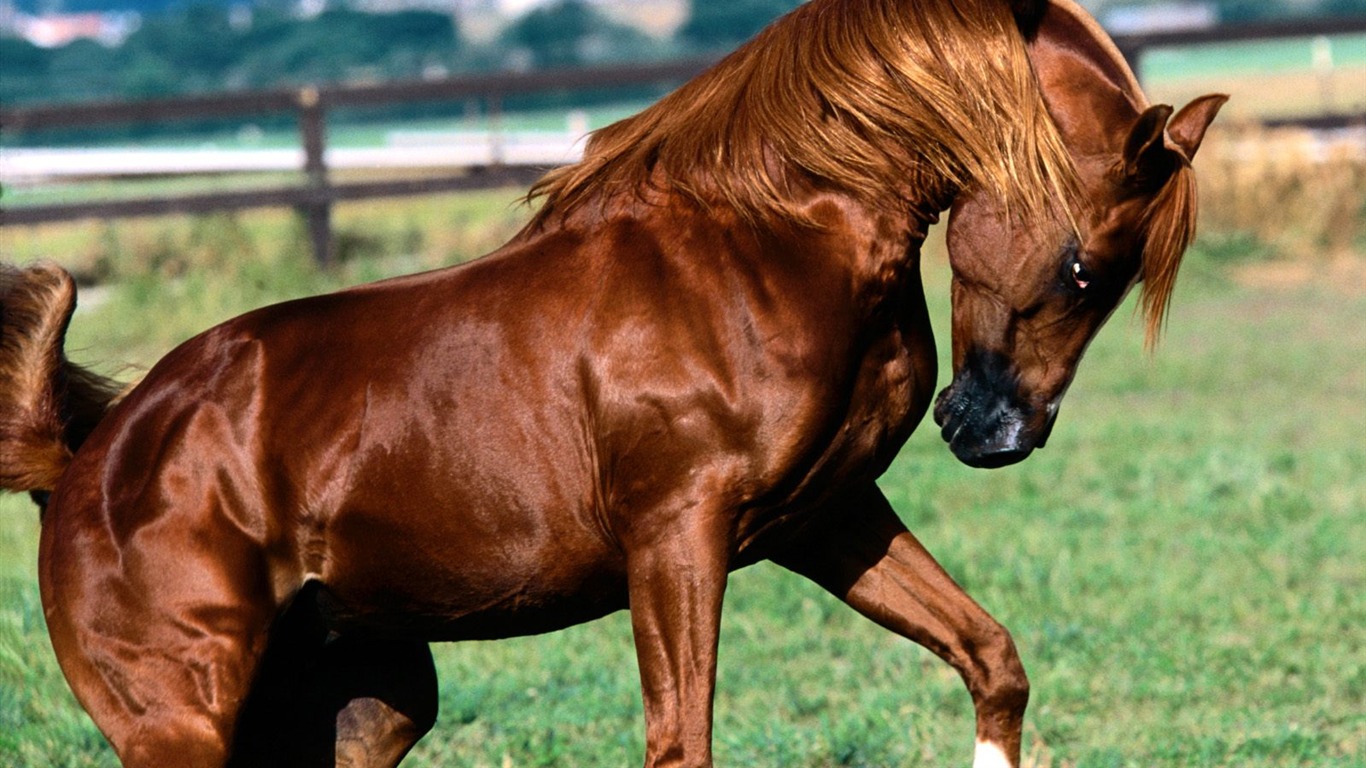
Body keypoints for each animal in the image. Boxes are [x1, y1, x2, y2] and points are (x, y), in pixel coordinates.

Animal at [0, 1, 1223, 765]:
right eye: (1084, 266)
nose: (994, 431)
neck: (764, 243)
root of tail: (89, 461)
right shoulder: (676, 537)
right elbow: (682, 742)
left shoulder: (825, 518)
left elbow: (991, 659)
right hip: (183, 725)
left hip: (365, 707)